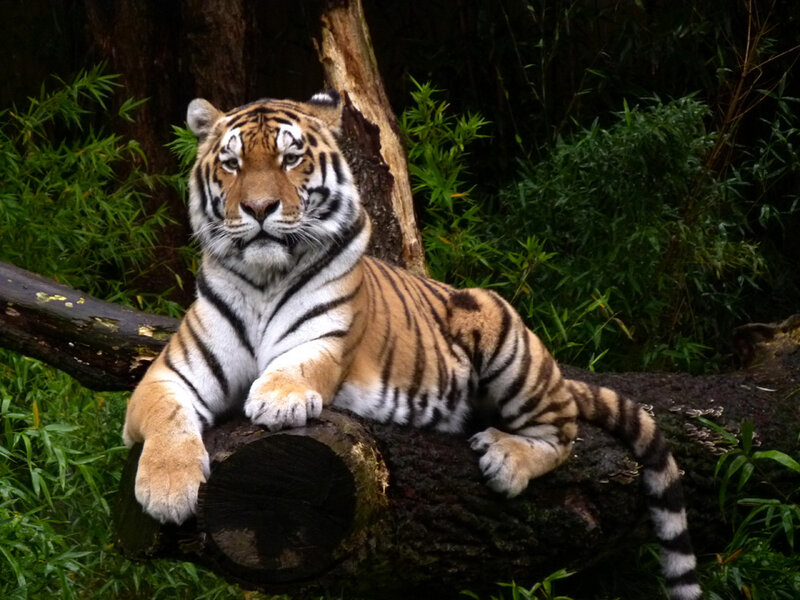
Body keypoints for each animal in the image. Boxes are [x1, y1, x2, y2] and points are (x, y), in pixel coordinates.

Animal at [122, 91, 701, 600]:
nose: (260, 208)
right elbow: (164, 414)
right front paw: (167, 489)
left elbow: (295, 368)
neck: (265, 276)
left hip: (499, 327)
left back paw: (506, 458)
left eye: (291, 158)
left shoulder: (323, 342)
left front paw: (278, 400)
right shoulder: (171, 371)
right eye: (232, 163)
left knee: (563, 431)